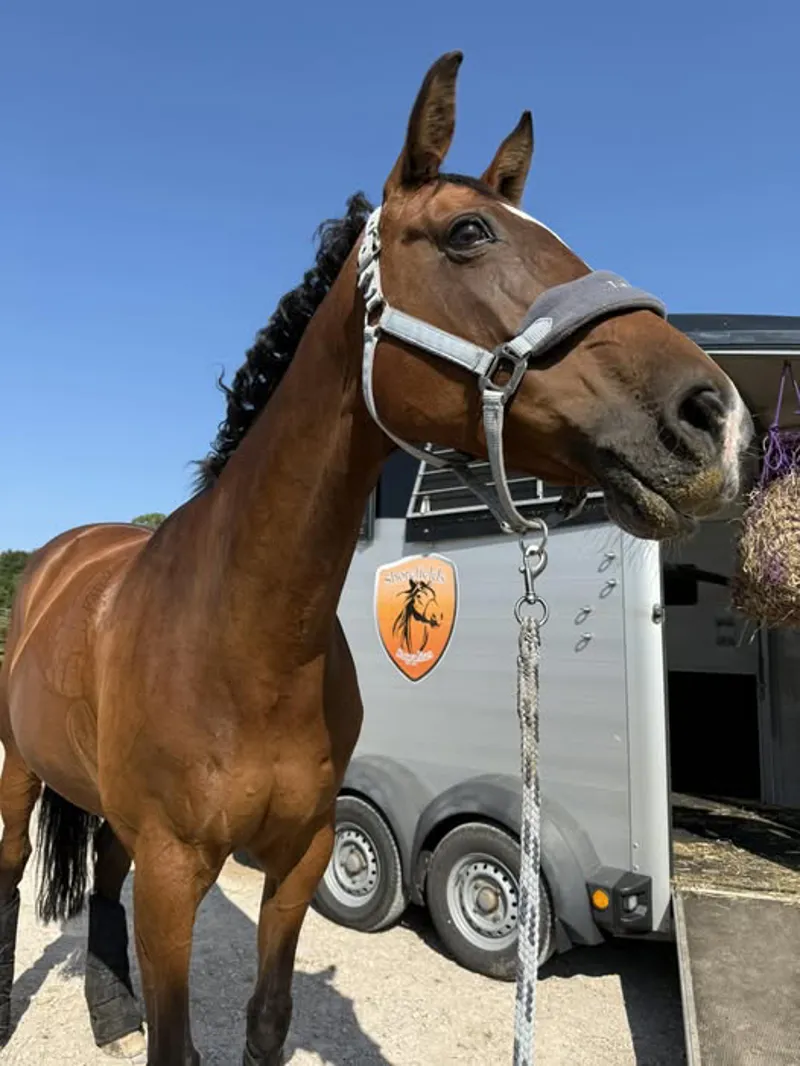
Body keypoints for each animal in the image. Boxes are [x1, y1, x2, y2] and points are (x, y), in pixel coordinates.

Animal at [0, 51, 751, 1066]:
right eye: (468, 232)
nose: (715, 418)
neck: (241, 643)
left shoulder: (298, 860)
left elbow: (268, 1018)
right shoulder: (172, 872)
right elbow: (178, 1040)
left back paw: (110, 1006)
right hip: (17, 774)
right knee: (9, 879)